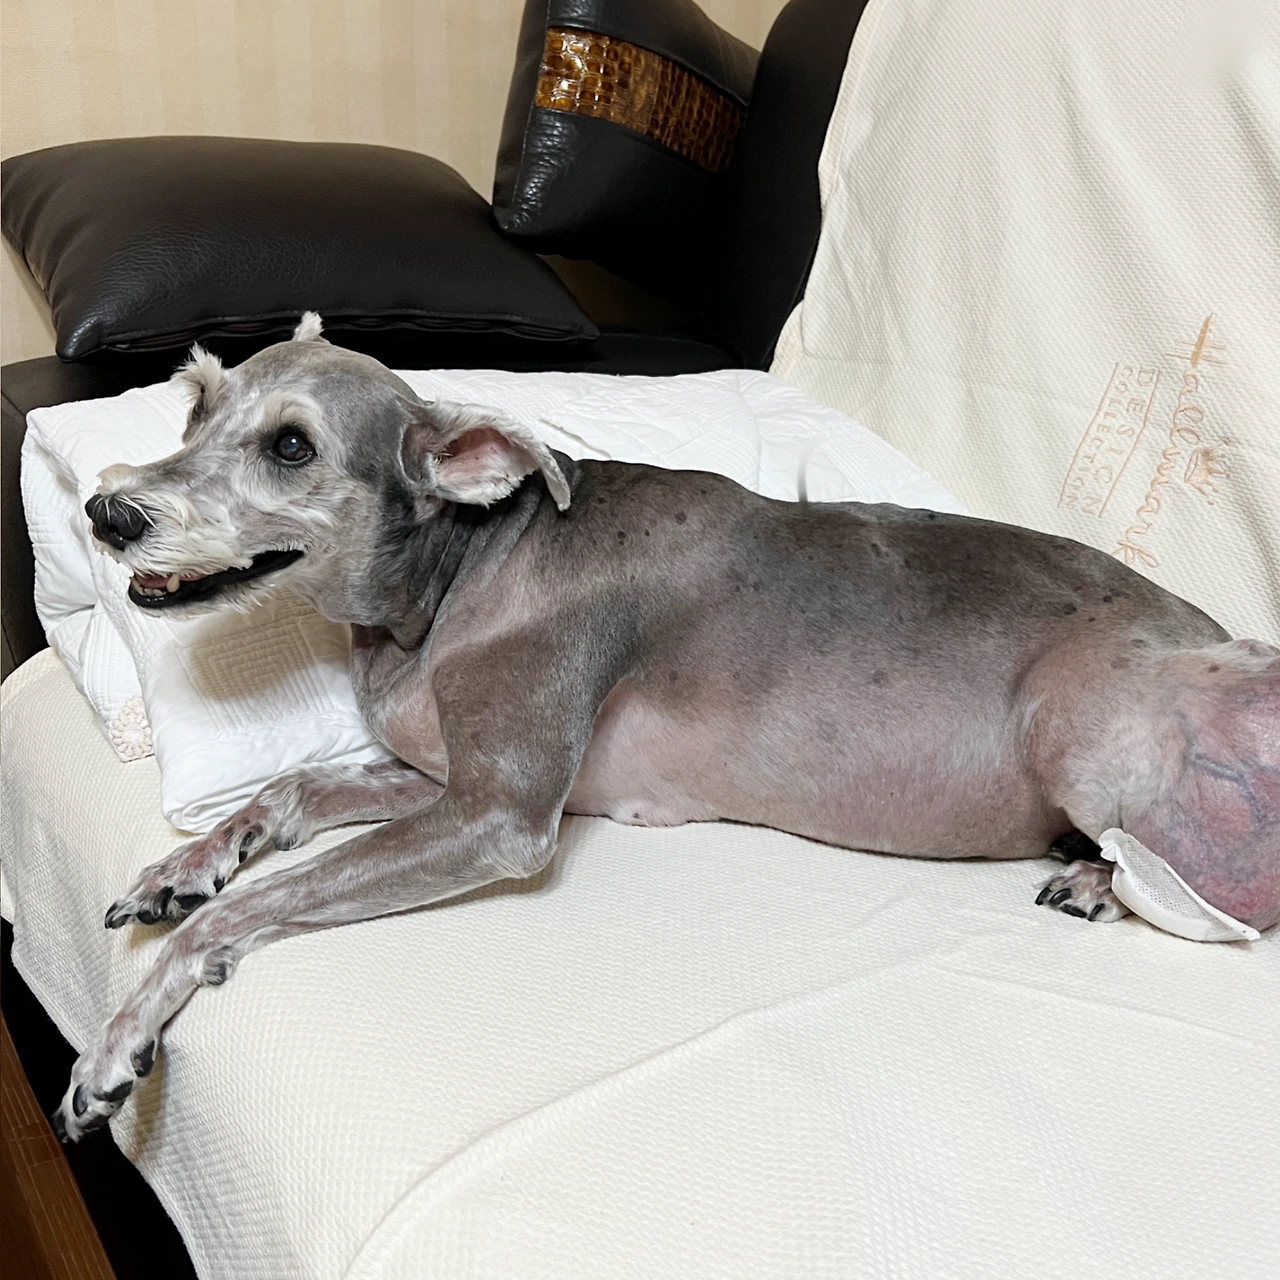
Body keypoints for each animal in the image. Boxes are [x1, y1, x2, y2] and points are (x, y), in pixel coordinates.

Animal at [53, 314, 1280, 1141]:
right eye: (195, 405)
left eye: (292, 446)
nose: (107, 512)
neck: (457, 572)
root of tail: (1223, 636)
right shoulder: (451, 780)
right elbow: (289, 793)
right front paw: (181, 869)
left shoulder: (501, 815)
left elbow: (254, 903)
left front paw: (124, 1035)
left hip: (1076, 719)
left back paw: (1102, 881)